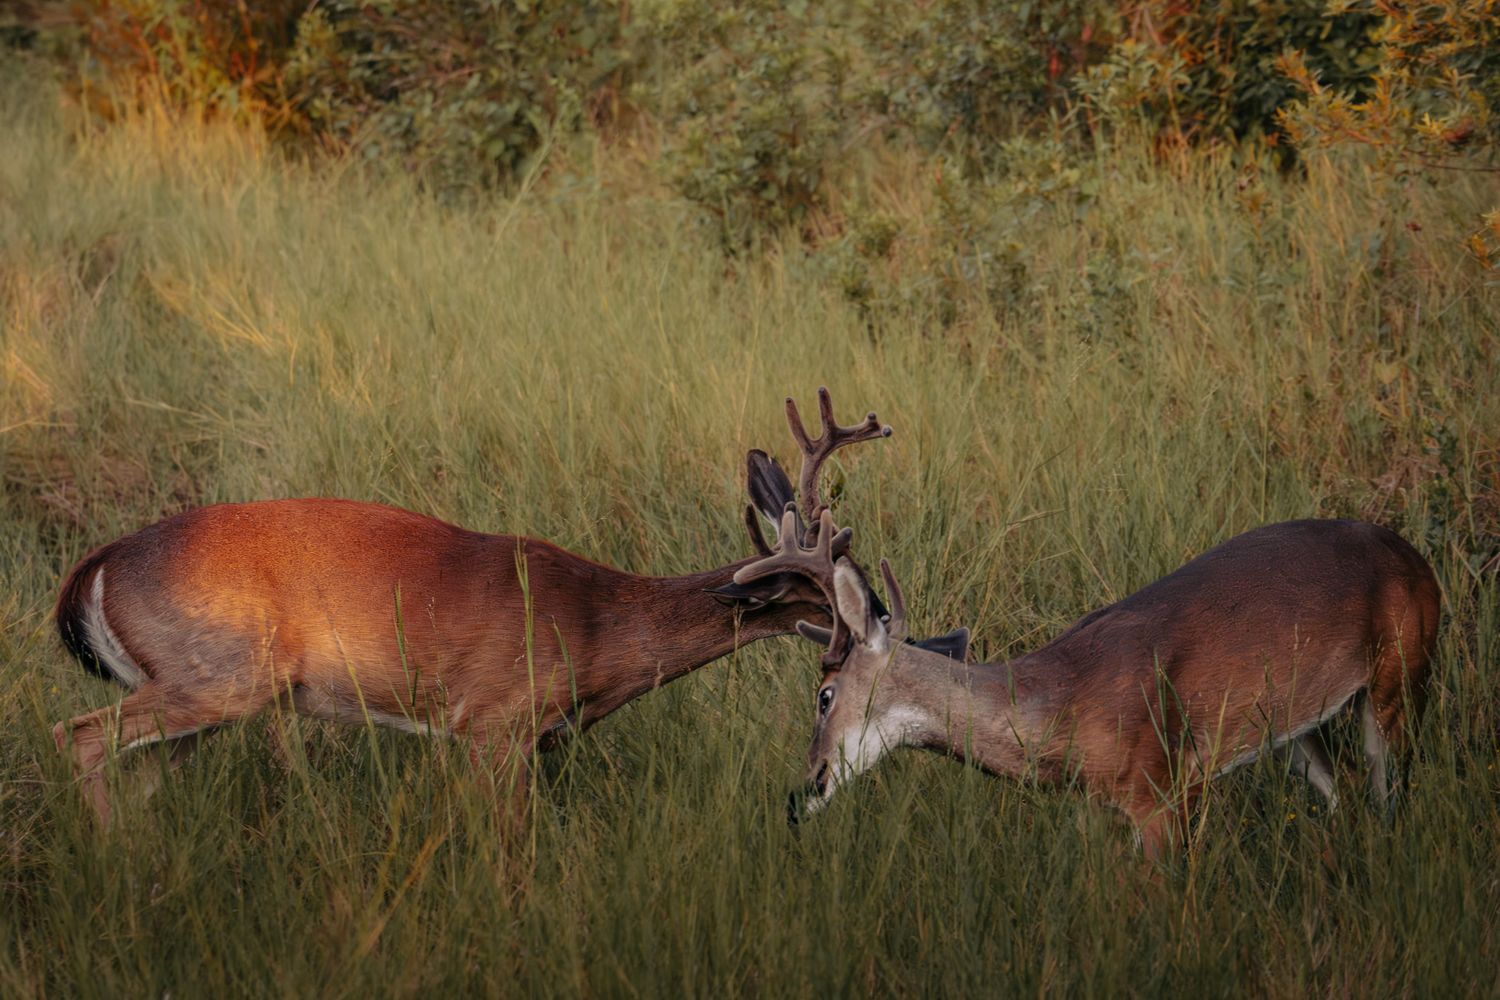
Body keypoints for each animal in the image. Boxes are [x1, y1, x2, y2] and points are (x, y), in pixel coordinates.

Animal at [51, 388, 895, 827]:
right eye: (841, 581)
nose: (888, 621)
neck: (598, 626)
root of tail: (93, 567)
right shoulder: (496, 724)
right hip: (218, 674)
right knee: (79, 734)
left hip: (200, 698)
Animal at [740, 510, 1441, 858]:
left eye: (824, 695)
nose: (804, 792)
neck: (1061, 703)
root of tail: (1418, 557)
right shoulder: (1098, 811)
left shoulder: (1163, 790)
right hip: (1296, 728)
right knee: (1338, 791)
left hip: (1399, 678)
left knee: (1387, 793)